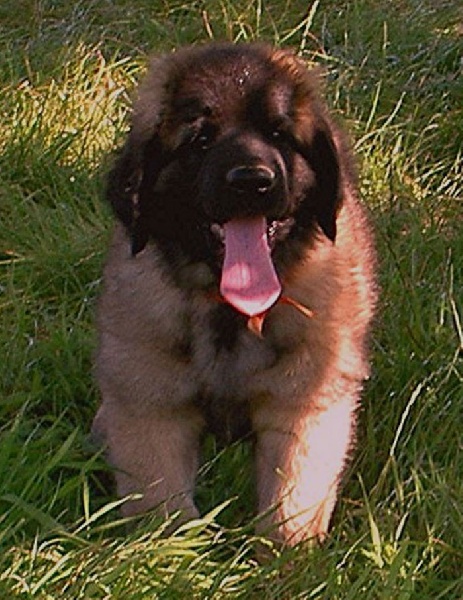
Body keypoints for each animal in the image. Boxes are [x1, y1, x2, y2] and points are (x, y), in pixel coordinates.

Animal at [92, 42, 377, 546]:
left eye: (279, 134)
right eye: (200, 140)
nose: (252, 181)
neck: (230, 309)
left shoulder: (306, 403)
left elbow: (292, 502)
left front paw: (287, 558)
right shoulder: (151, 402)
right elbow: (161, 499)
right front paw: (175, 552)